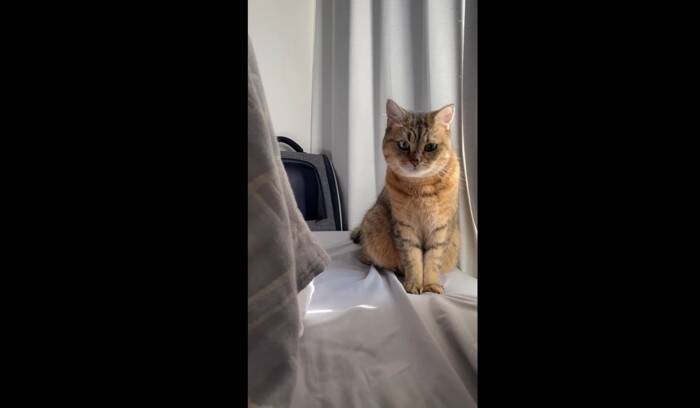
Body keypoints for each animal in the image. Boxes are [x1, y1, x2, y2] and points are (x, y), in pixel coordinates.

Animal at [351, 99, 461, 294]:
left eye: (430, 147)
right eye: (403, 144)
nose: (415, 161)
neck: (421, 187)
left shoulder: (441, 229)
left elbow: (433, 260)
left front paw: (431, 284)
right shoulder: (404, 228)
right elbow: (413, 259)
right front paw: (414, 283)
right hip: (374, 219)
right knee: (365, 257)